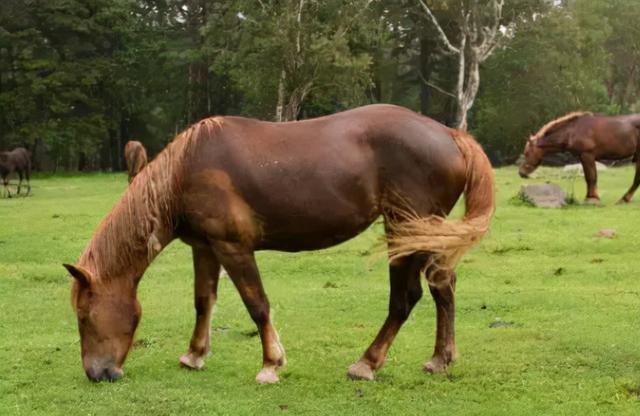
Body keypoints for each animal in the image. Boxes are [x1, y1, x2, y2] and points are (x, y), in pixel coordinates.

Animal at [63, 104, 496, 384]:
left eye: (84, 316)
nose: (96, 373)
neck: (185, 173)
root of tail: (451, 135)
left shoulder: (233, 247)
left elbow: (257, 305)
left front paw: (271, 364)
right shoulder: (205, 248)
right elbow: (204, 302)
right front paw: (194, 355)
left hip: (405, 230)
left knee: (406, 298)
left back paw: (367, 363)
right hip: (428, 233)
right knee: (443, 286)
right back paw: (440, 359)